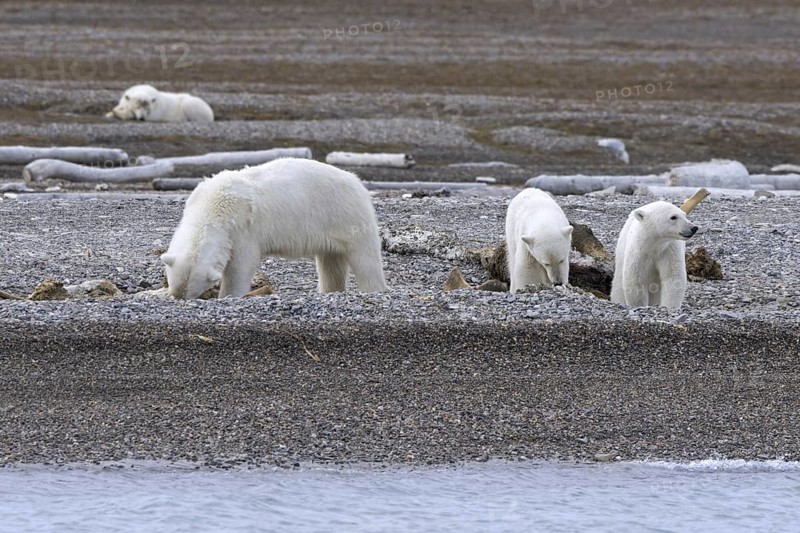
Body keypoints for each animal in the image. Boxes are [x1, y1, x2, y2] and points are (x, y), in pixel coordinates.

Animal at [160, 158, 387, 299]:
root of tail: (356, 180)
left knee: (365, 259)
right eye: (173, 286)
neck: (212, 207)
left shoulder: (243, 230)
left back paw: (373, 288)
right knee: (331, 264)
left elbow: (240, 266)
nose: (178, 297)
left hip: (347, 216)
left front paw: (228, 295)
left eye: (190, 293)